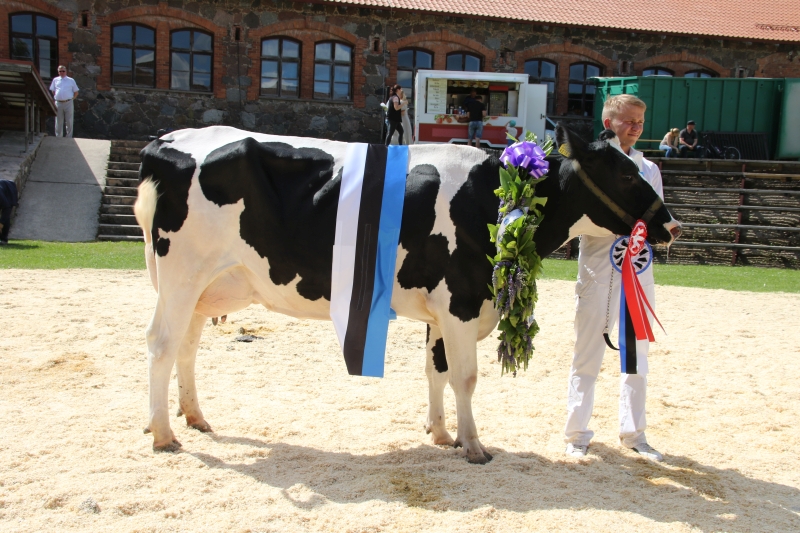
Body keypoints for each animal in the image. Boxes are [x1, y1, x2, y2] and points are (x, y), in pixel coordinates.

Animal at [134, 125, 680, 464]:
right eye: (625, 172)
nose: (671, 225)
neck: (494, 195)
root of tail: (167, 141)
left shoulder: (440, 311)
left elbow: (434, 371)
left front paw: (440, 433)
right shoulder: (461, 303)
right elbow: (465, 378)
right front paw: (474, 445)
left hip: (204, 285)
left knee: (186, 346)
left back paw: (195, 418)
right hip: (182, 274)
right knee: (160, 344)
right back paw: (163, 434)